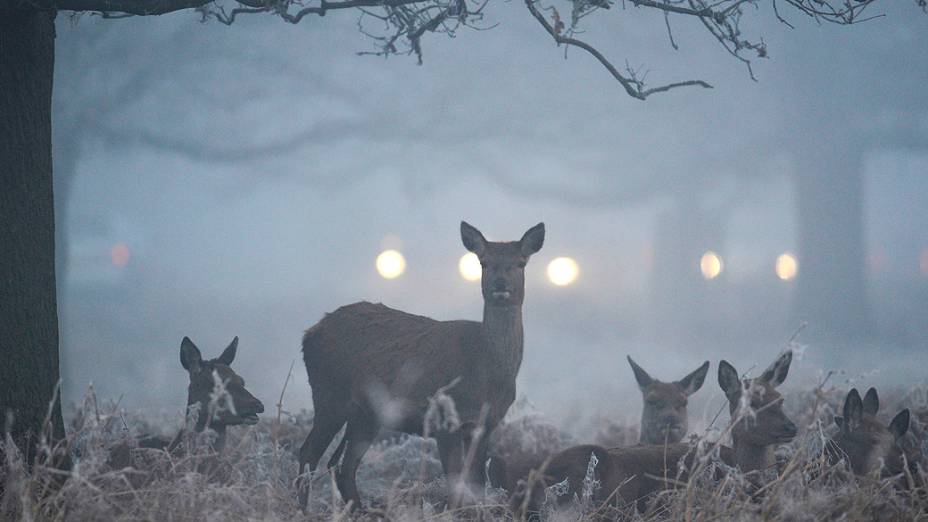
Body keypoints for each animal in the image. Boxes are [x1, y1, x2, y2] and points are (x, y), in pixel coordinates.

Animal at [298, 220, 544, 508]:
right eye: (484, 262)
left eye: (520, 263)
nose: (500, 283)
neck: (486, 371)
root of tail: (309, 335)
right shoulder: (443, 418)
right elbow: (455, 479)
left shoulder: (486, 424)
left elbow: (477, 481)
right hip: (329, 394)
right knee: (309, 453)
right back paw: (305, 509)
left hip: (364, 414)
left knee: (342, 465)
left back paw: (358, 509)